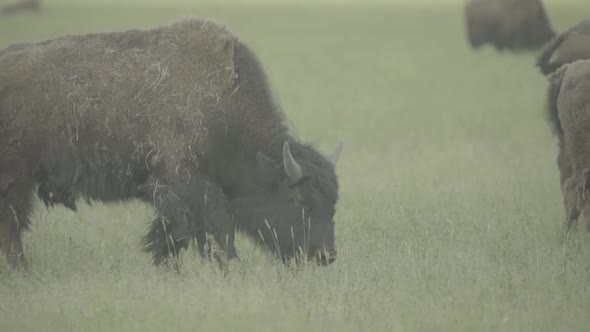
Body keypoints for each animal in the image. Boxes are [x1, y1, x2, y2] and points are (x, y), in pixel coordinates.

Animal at [0, 18, 342, 272]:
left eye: (333, 204)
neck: (223, 103)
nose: (326, 256)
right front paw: (230, 267)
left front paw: (167, 268)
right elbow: (216, 229)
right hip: (16, 181)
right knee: (13, 227)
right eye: (300, 201)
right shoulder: (186, 183)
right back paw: (23, 272)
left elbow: (171, 235)